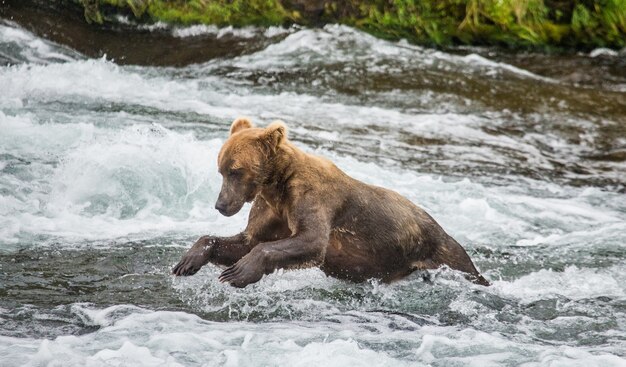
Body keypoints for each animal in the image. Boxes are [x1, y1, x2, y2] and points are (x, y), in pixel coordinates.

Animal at [171, 118, 488, 288]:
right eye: (221, 169)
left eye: (236, 170)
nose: (221, 205)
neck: (277, 185)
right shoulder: (271, 209)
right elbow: (245, 240)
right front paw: (188, 261)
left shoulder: (312, 198)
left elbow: (310, 240)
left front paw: (238, 272)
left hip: (442, 251)